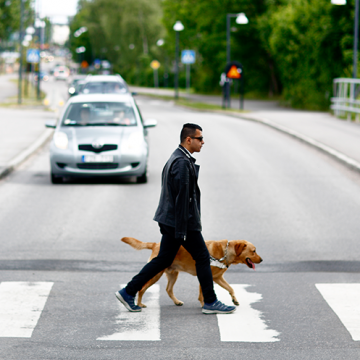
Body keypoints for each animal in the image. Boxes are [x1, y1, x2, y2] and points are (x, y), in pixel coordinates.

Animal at [121, 238, 262, 308]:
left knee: (168, 289)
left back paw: (177, 302)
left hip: (173, 274)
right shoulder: (206, 275)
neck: (226, 252)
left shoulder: (217, 278)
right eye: (254, 251)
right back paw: (138, 304)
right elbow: (202, 294)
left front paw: (235, 300)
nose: (262, 260)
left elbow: (231, 288)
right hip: (156, 274)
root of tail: (156, 244)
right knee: (142, 288)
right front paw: (205, 305)